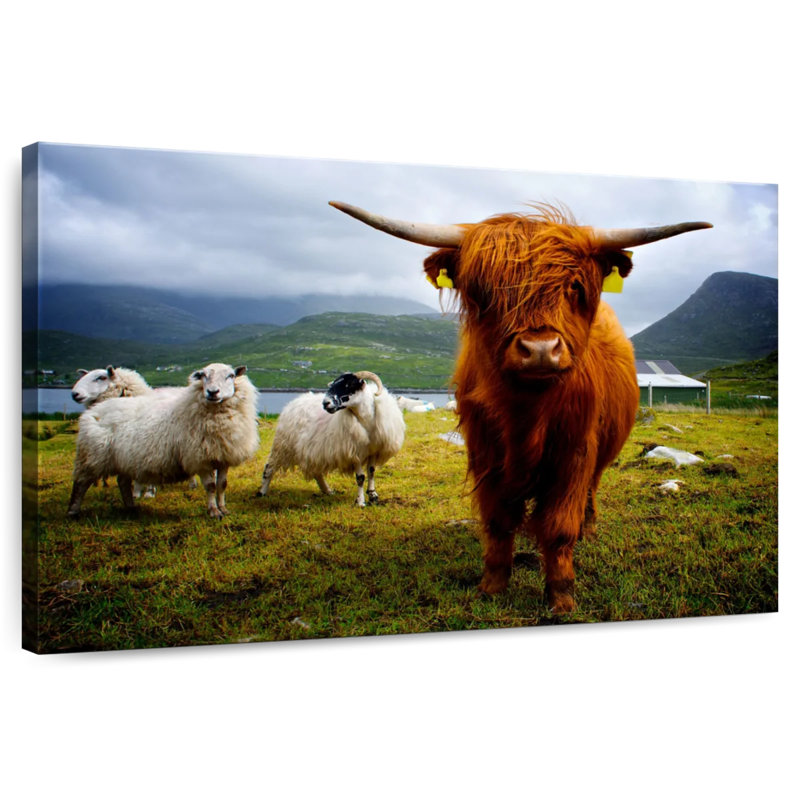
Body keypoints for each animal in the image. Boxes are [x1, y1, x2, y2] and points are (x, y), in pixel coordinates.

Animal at [330, 200, 712, 613]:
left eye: (575, 286)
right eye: (485, 290)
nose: (540, 350)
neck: (527, 414)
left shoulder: (574, 452)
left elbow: (559, 526)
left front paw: (561, 596)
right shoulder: (485, 452)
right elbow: (498, 521)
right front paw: (493, 585)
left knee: (589, 494)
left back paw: (588, 529)